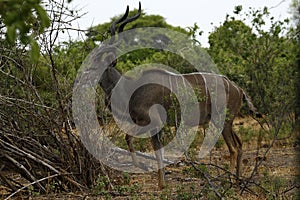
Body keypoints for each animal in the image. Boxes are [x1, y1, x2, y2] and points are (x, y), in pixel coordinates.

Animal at [96, 2, 260, 188]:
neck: (131, 88)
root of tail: (237, 88)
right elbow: (142, 144)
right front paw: (155, 177)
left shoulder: (153, 122)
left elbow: (144, 145)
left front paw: (159, 182)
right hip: (228, 122)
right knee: (239, 145)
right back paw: (239, 180)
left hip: (222, 121)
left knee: (232, 148)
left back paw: (229, 182)